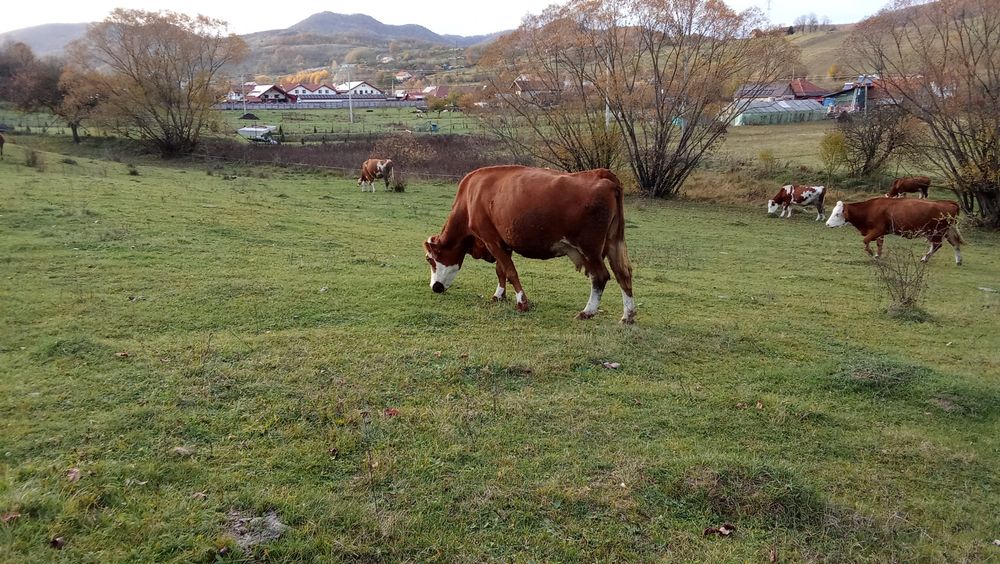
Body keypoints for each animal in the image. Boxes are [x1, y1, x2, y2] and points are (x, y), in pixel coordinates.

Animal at [423, 165, 636, 323]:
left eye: (431, 260)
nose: (435, 287)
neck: (470, 197)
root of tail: (601, 174)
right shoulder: (502, 242)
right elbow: (501, 270)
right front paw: (499, 295)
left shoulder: (490, 238)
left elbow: (510, 271)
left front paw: (522, 302)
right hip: (614, 243)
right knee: (623, 274)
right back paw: (628, 315)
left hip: (590, 249)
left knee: (600, 276)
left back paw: (588, 311)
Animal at [825, 197, 964, 265]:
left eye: (837, 214)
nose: (827, 224)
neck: (870, 209)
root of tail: (948, 203)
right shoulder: (880, 233)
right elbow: (879, 244)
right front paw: (877, 255)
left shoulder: (878, 230)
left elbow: (866, 241)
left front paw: (872, 253)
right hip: (947, 231)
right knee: (955, 243)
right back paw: (958, 260)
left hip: (936, 232)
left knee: (937, 245)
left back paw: (925, 258)